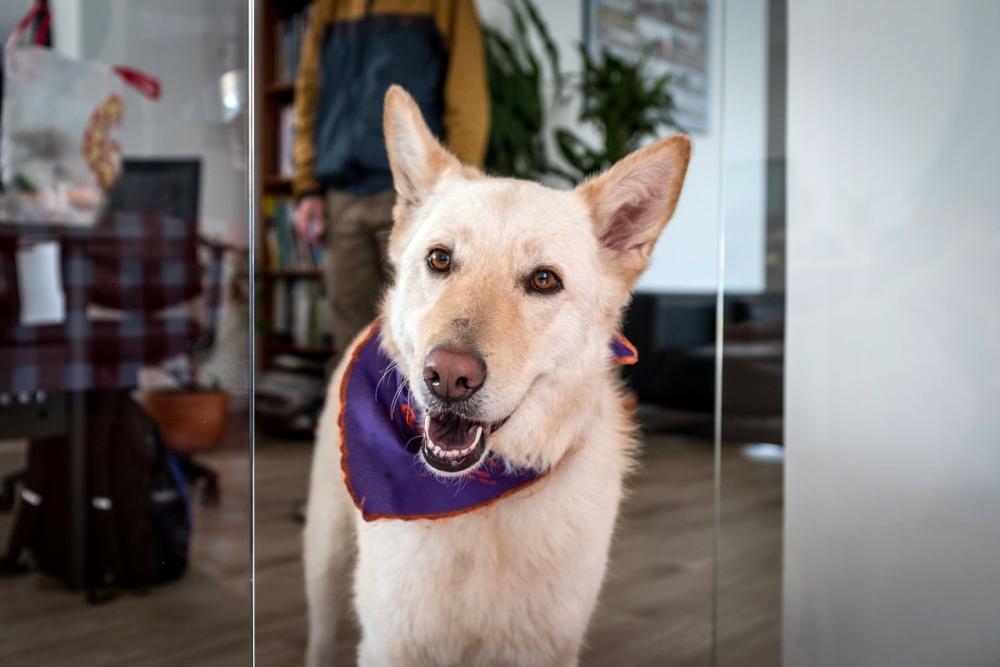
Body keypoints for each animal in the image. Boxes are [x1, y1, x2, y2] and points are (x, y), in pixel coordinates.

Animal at [304, 86, 692, 664]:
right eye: (440, 259)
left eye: (544, 280)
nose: (448, 376)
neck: (476, 500)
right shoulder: (393, 643)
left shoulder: (545, 645)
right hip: (325, 557)